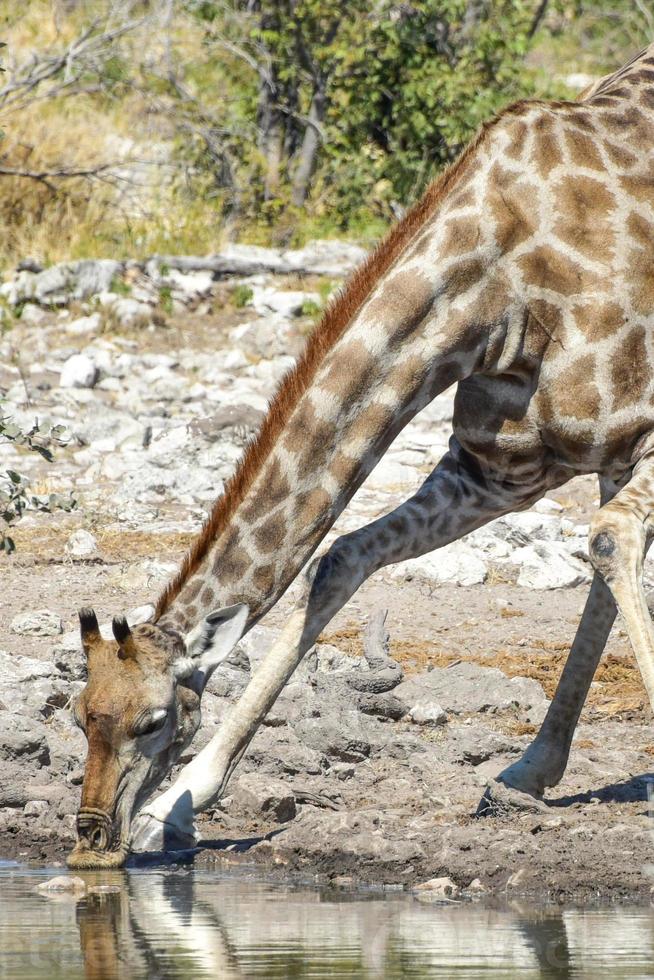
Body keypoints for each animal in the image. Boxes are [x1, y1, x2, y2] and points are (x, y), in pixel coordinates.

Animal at [68, 46, 654, 868]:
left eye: (154, 720)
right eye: (77, 713)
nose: (93, 838)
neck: (498, 293)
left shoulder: (640, 434)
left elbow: (610, 541)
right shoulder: (501, 469)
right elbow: (340, 559)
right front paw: (179, 808)